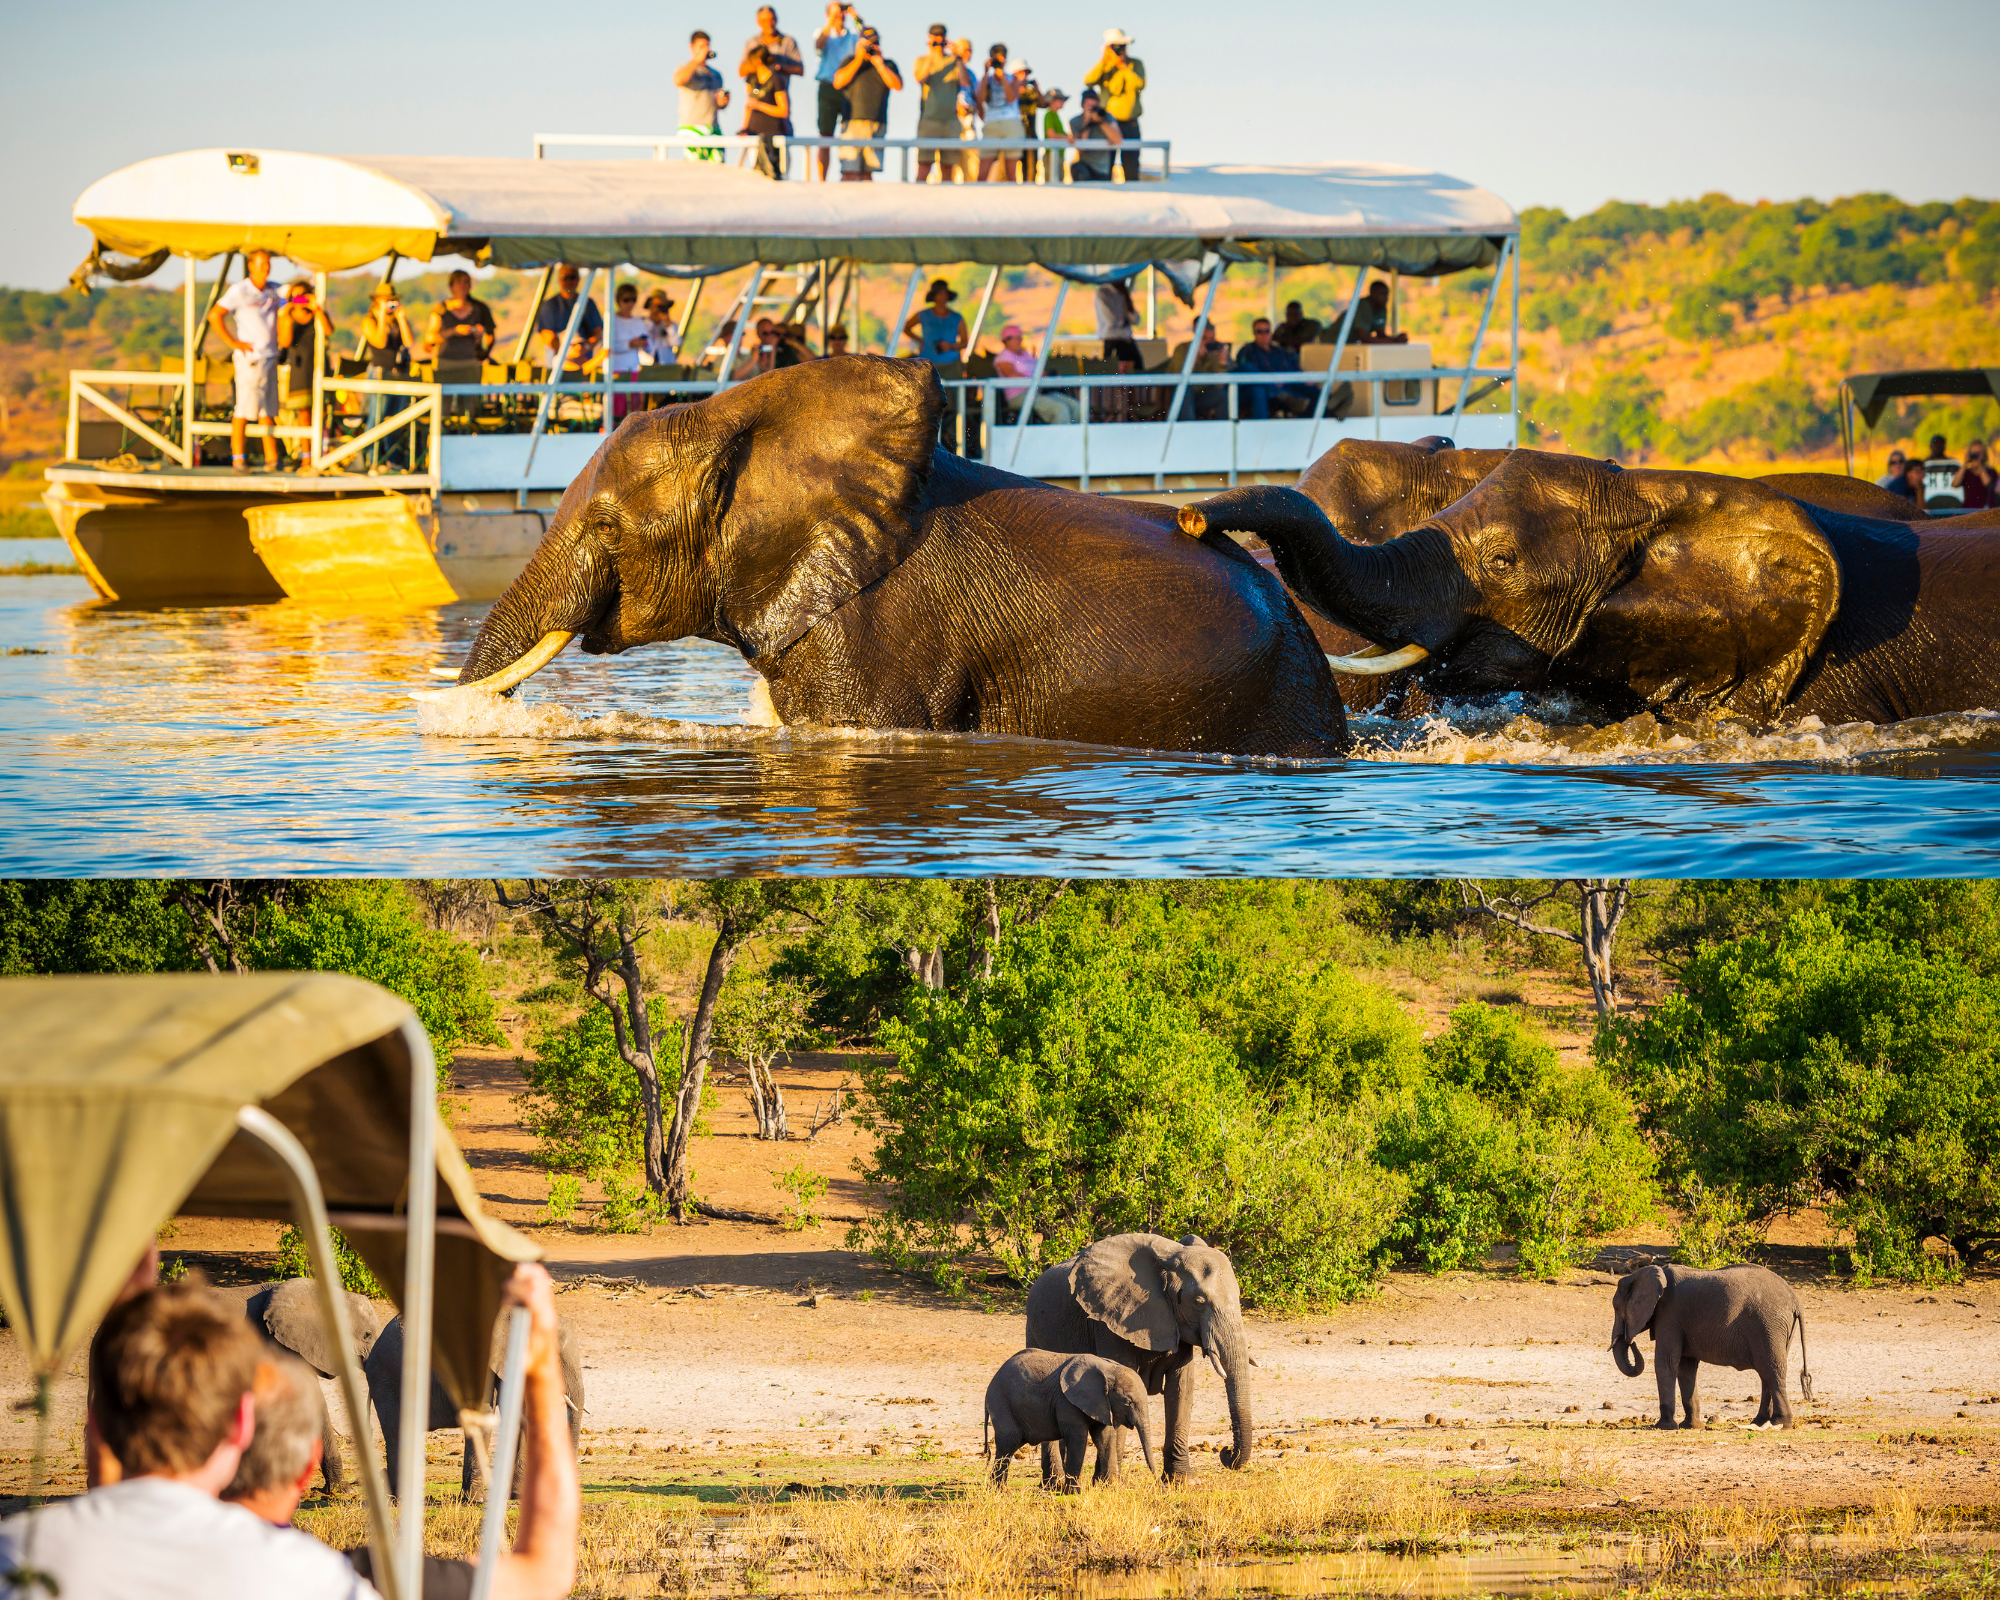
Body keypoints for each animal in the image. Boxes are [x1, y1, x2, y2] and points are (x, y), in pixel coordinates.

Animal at [984, 1350, 1157, 1488]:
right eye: (1127, 1402)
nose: (1159, 1485)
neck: (1108, 1369)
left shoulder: (1102, 1403)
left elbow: (1105, 1438)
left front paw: (1112, 1490)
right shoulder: (1067, 1402)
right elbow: (1078, 1438)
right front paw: (1074, 1493)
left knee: (1011, 1445)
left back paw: (998, 1490)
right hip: (1001, 1403)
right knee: (1008, 1443)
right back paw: (999, 1492)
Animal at [1024, 1232, 1252, 1482]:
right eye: (1199, 1301)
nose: (1226, 1452)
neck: (1168, 1259)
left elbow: (1181, 1387)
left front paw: (1184, 1482)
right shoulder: (1109, 1321)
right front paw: (1109, 1483)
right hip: (1033, 1331)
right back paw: (1054, 1483)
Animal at [1609, 1263, 1813, 1430]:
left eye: (1616, 1308)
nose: (1630, 1341)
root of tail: (1795, 1300)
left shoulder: (1669, 1314)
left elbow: (1666, 1362)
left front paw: (1664, 1427)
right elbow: (1686, 1368)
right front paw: (1691, 1426)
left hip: (1769, 1325)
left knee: (1771, 1369)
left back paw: (1780, 1424)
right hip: (1778, 1329)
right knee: (1766, 1373)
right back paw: (1759, 1422)